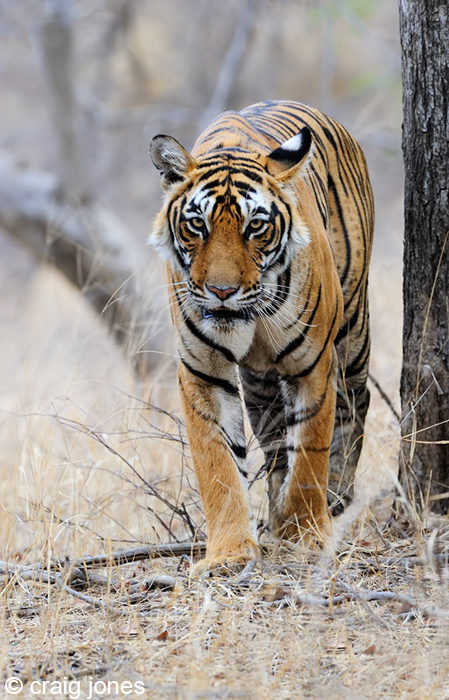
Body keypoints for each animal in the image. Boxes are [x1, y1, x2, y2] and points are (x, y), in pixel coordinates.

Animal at [150, 100, 373, 574]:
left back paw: (334, 498)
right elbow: (217, 464)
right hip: (258, 384)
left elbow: (310, 450)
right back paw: (277, 517)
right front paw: (229, 553)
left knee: (354, 407)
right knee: (274, 445)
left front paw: (306, 536)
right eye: (196, 225)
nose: (221, 291)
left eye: (255, 226)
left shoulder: (314, 365)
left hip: (353, 330)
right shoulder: (202, 372)